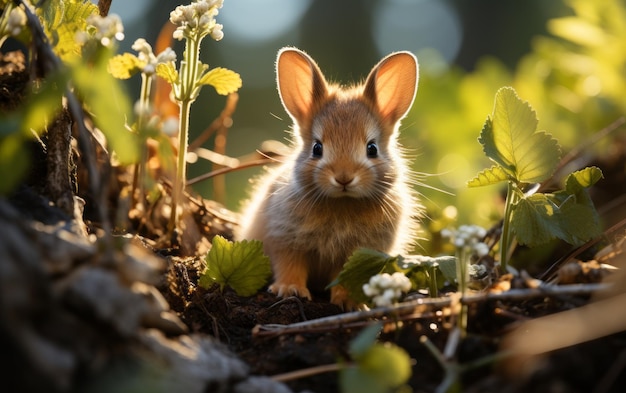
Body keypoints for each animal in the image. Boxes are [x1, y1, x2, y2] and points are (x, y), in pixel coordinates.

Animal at [236, 47, 422, 308]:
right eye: (317, 148)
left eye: (372, 148)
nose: (344, 178)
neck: (341, 202)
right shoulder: (285, 240)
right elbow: (289, 265)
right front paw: (290, 289)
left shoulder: (354, 256)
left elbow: (344, 276)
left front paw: (349, 302)